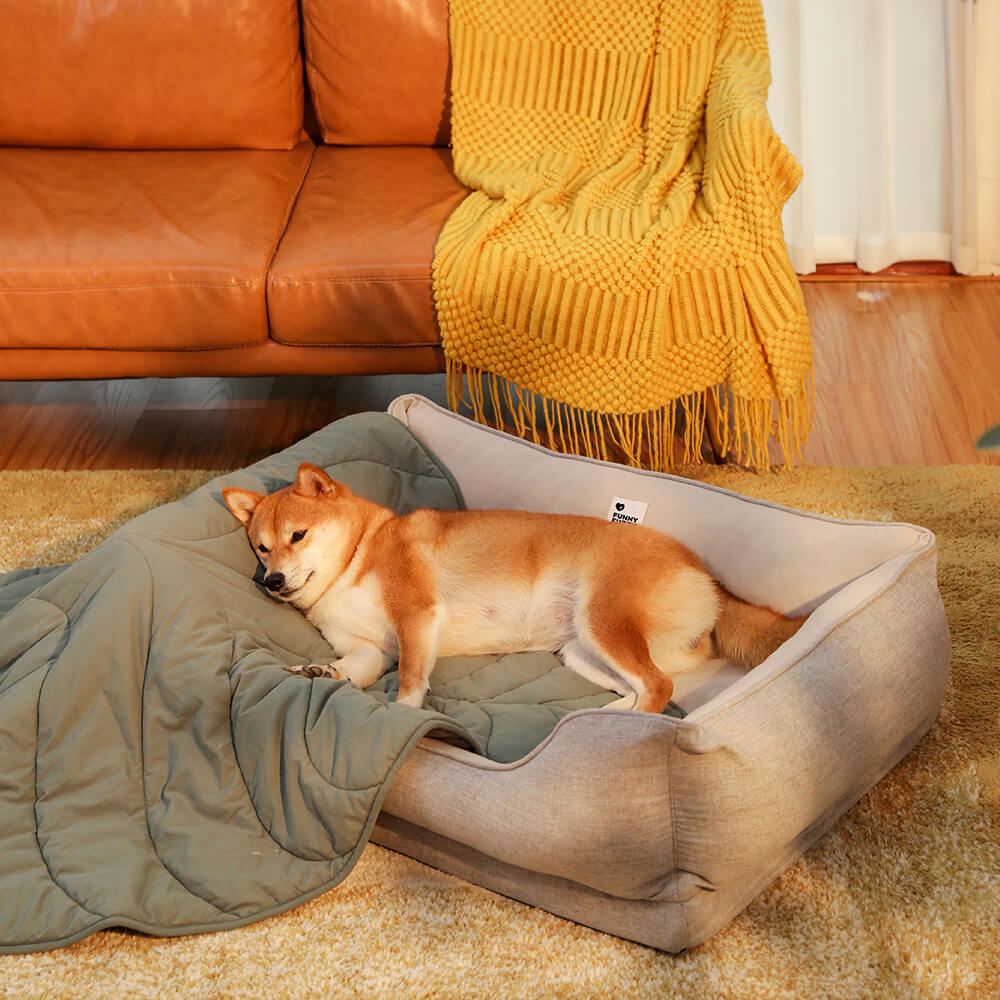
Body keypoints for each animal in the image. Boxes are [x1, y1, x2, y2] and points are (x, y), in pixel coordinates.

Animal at [225, 464, 804, 716]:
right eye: (261, 548)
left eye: (298, 536)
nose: (272, 581)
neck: (358, 555)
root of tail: (710, 578)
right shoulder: (369, 650)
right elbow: (353, 669)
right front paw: (322, 672)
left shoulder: (416, 615)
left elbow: (410, 680)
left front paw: (405, 713)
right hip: (579, 651)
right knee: (646, 688)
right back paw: (605, 723)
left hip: (602, 620)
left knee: (658, 689)